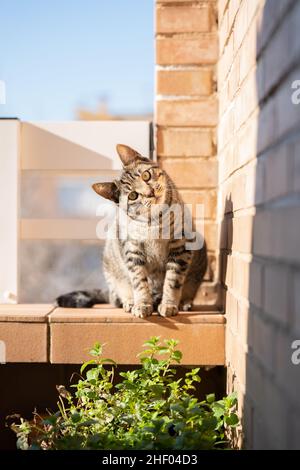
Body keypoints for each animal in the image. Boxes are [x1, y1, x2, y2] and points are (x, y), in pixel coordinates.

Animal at [56, 145, 206, 318]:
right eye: (133, 195)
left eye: (146, 175)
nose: (150, 192)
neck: (156, 222)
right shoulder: (132, 249)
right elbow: (139, 281)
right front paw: (142, 304)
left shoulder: (180, 246)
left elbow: (172, 280)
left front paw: (169, 304)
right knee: (116, 297)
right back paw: (129, 301)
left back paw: (184, 303)